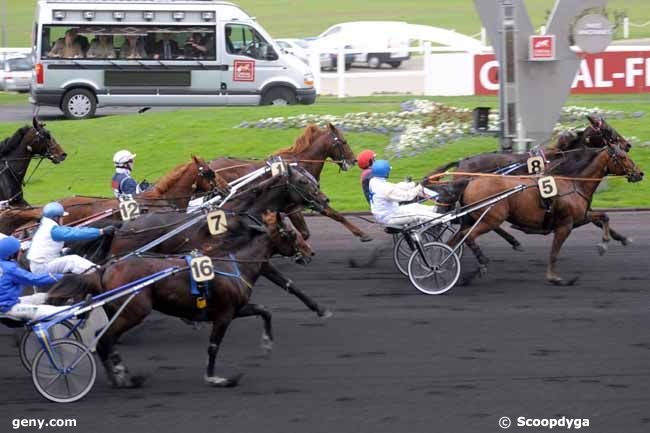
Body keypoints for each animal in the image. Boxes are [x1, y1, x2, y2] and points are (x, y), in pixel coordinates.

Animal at [50, 211, 314, 386]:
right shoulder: (224, 315)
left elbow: (265, 310)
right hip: (134, 311)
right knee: (105, 339)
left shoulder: (236, 309)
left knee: (105, 340)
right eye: (291, 234)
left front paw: (267, 344)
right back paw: (122, 379)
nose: (310, 252)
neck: (234, 264)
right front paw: (215, 377)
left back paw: (119, 376)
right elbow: (213, 346)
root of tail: (107, 267)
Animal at [208, 123, 370, 241]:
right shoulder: (294, 204)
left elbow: (326, 219)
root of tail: (208, 165)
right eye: (344, 142)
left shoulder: (308, 199)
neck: (298, 165)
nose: (353, 160)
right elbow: (311, 229)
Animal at [446, 141, 644, 284]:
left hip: (473, 218)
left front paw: (609, 242)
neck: (574, 183)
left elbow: (604, 217)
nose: (640, 173)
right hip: (490, 219)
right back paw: (482, 262)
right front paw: (553, 277)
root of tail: (470, 182)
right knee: (468, 237)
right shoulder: (565, 225)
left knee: (454, 240)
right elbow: (554, 251)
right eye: (622, 157)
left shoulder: (580, 217)